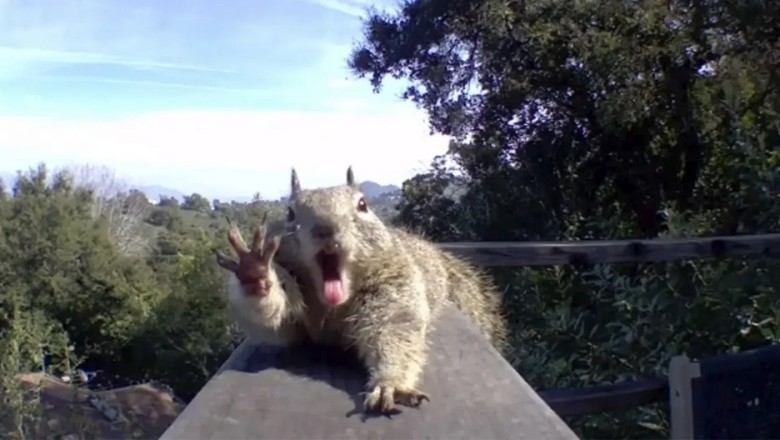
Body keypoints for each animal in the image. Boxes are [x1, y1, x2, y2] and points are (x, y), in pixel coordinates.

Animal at [214, 167, 509, 414]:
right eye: (289, 213)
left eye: (363, 205)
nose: (326, 229)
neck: (332, 306)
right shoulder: (294, 317)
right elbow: (278, 324)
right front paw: (256, 273)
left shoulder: (395, 285)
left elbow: (394, 331)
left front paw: (391, 384)